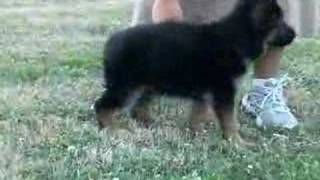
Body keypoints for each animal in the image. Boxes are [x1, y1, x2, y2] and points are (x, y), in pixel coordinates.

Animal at [94, 0, 296, 143]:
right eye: (280, 22)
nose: (294, 34)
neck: (238, 36)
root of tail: (110, 42)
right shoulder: (224, 92)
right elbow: (230, 121)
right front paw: (237, 143)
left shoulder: (205, 93)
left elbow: (198, 114)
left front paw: (196, 134)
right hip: (126, 85)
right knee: (102, 106)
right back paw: (112, 129)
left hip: (147, 84)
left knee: (137, 108)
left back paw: (149, 124)